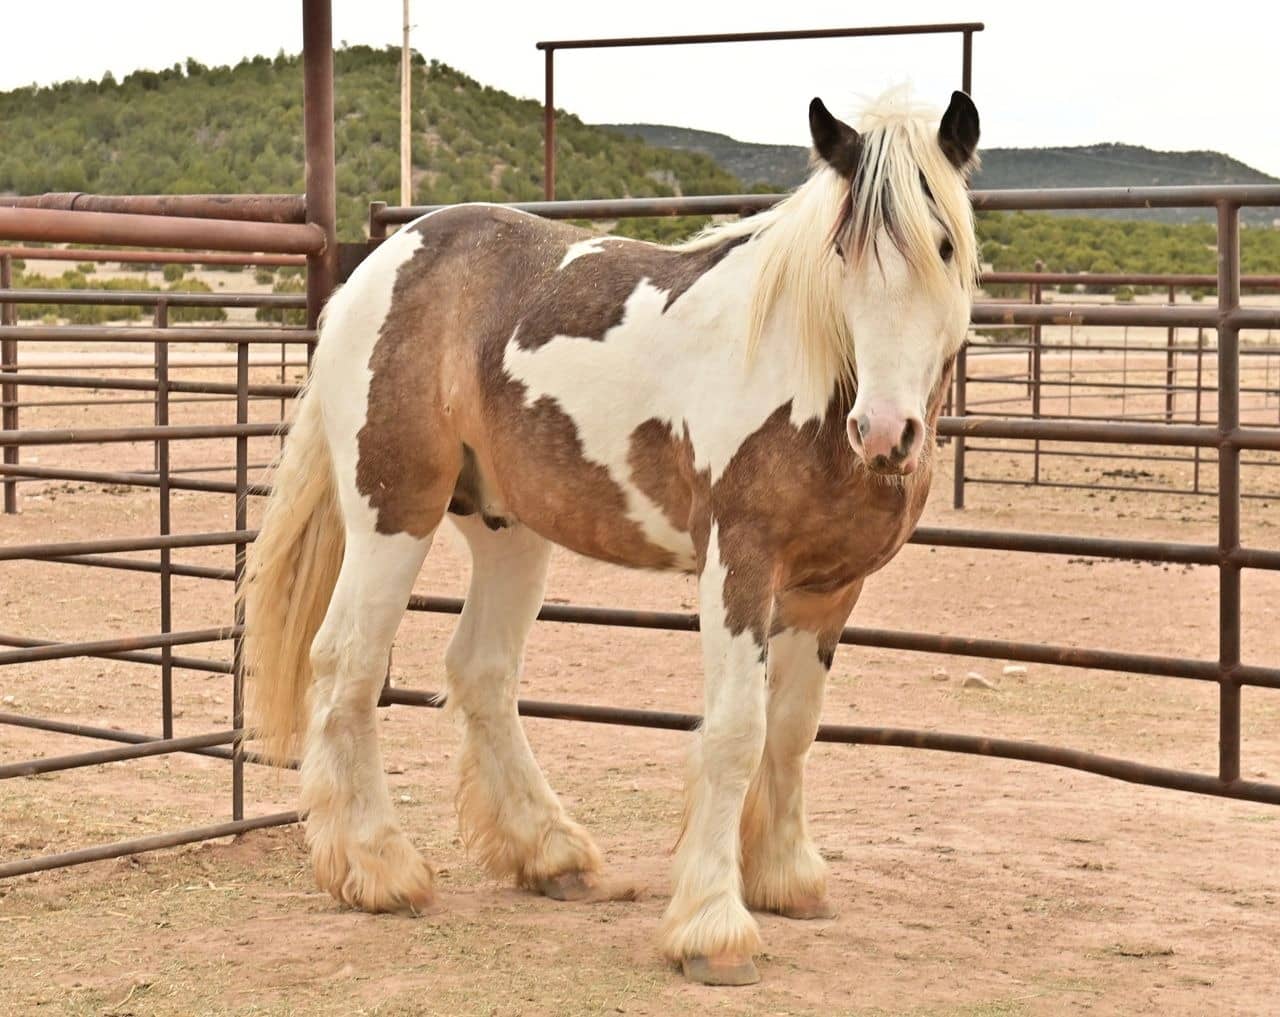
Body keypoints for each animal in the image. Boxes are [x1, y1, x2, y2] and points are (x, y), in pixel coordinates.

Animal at [244, 89, 983, 987]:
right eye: (844, 252)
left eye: (944, 246)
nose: (884, 432)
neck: (808, 379)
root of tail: (376, 267)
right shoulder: (738, 565)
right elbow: (737, 730)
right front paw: (712, 927)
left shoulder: (829, 588)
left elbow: (794, 725)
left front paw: (785, 875)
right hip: (392, 509)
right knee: (345, 660)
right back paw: (378, 867)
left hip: (508, 527)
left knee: (481, 671)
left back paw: (549, 852)